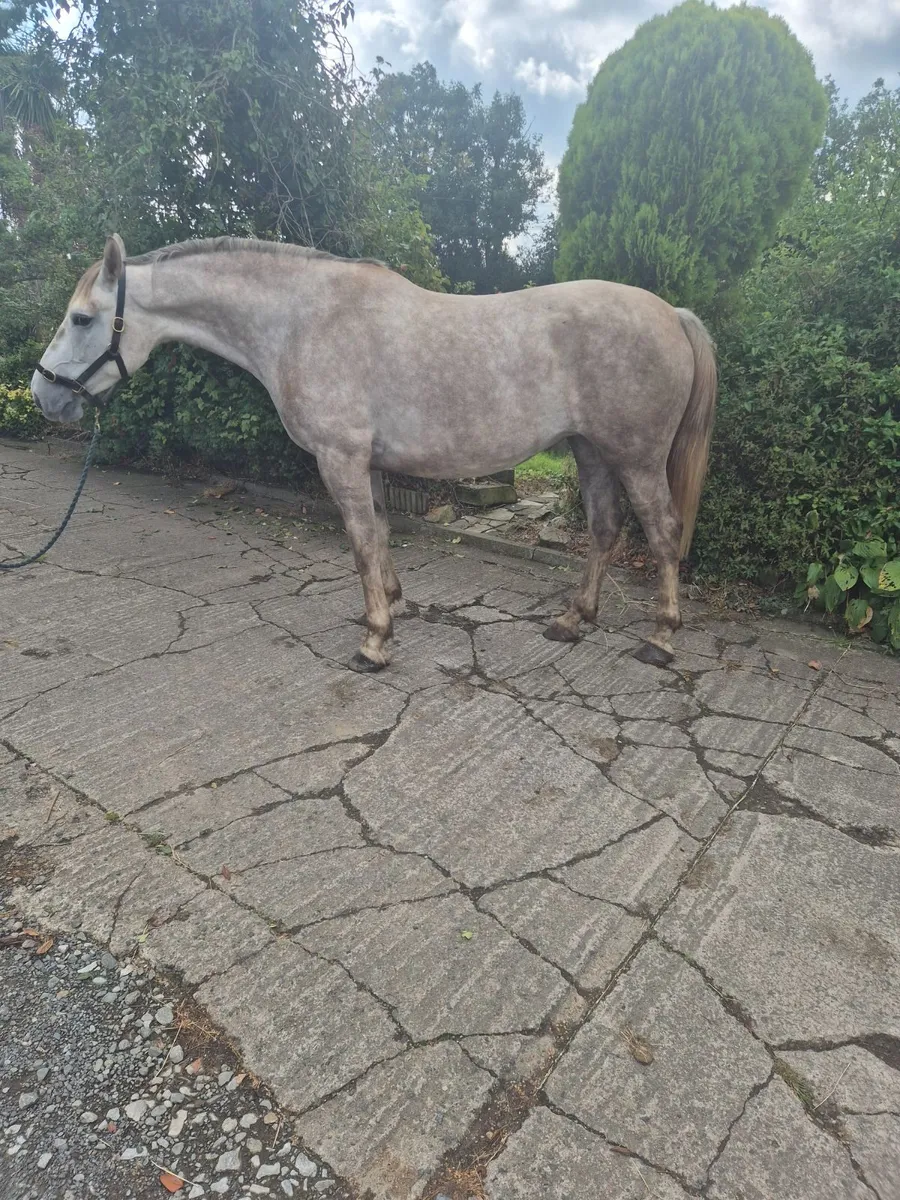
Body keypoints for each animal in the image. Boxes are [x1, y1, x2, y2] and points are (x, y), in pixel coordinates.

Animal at [32, 234, 716, 672]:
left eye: (83, 318)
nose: (44, 394)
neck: (302, 321)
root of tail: (672, 313)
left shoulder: (340, 459)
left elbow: (361, 541)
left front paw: (374, 643)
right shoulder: (372, 464)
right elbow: (383, 534)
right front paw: (393, 605)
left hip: (635, 457)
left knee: (662, 532)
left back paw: (660, 640)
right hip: (591, 452)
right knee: (604, 530)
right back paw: (574, 620)